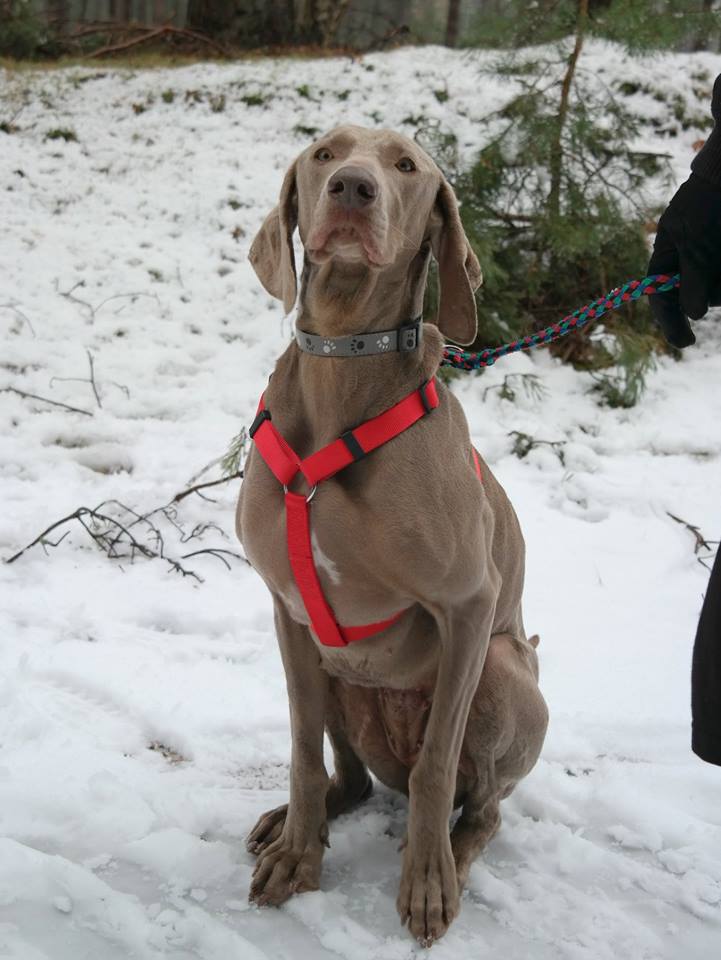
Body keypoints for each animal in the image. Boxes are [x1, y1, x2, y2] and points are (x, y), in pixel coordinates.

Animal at [236, 125, 548, 946]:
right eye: (322, 152)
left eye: (406, 166)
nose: (353, 187)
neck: (344, 368)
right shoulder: (286, 609)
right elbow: (301, 748)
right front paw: (297, 858)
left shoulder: (469, 605)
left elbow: (439, 765)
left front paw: (427, 884)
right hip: (336, 670)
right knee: (346, 773)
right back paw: (294, 824)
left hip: (504, 670)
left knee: (477, 805)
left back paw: (447, 852)